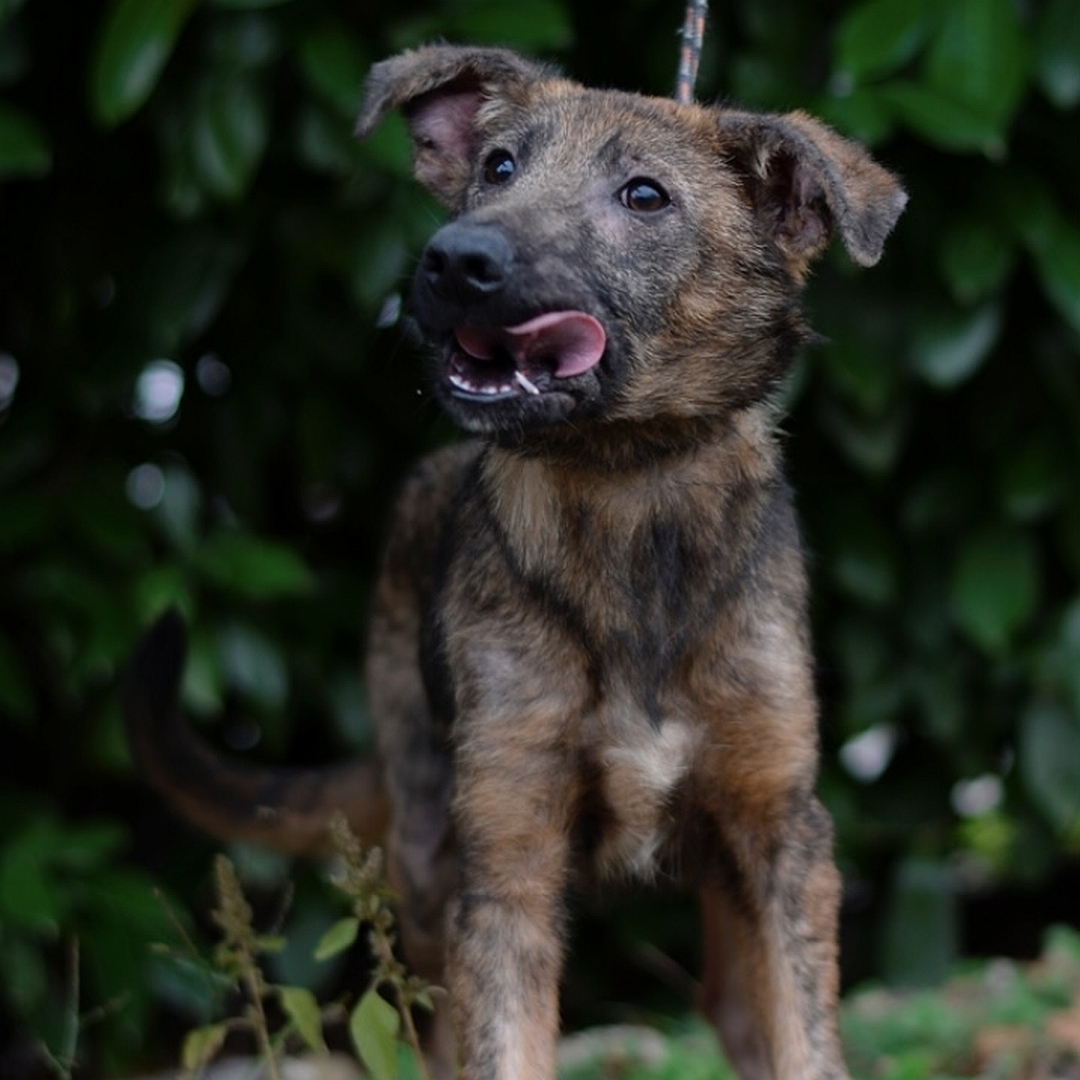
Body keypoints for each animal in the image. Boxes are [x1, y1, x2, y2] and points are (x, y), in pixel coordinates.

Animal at [124, 44, 902, 1080]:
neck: (627, 485)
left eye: (644, 195)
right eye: (496, 167)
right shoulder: (505, 853)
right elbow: (502, 1044)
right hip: (425, 860)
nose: (455, 260)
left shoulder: (780, 831)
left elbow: (808, 1043)